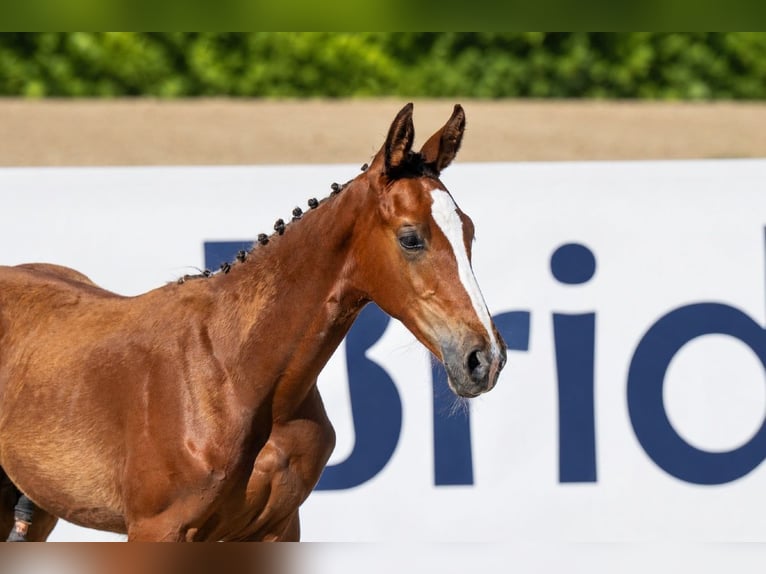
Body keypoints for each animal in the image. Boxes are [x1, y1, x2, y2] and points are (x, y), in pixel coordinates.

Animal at [0, 103, 507, 541]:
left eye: (469, 231)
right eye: (410, 238)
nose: (484, 358)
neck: (237, 375)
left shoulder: (276, 527)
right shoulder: (156, 529)